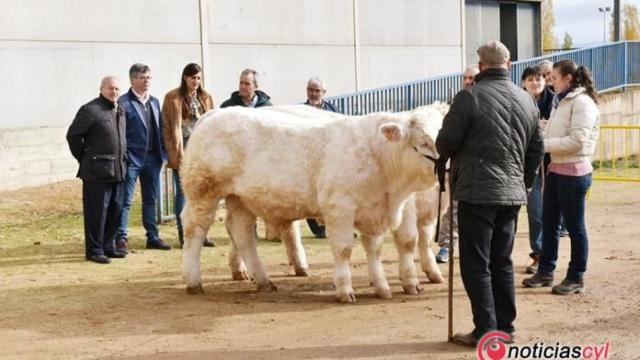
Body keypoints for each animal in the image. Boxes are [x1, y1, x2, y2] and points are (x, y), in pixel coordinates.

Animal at [181, 103, 444, 300]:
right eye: (424, 142)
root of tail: (212, 114)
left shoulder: (374, 210)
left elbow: (375, 249)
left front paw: (382, 287)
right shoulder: (340, 208)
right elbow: (344, 249)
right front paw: (345, 290)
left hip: (240, 198)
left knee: (242, 232)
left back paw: (263, 280)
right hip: (203, 191)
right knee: (195, 228)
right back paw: (194, 281)